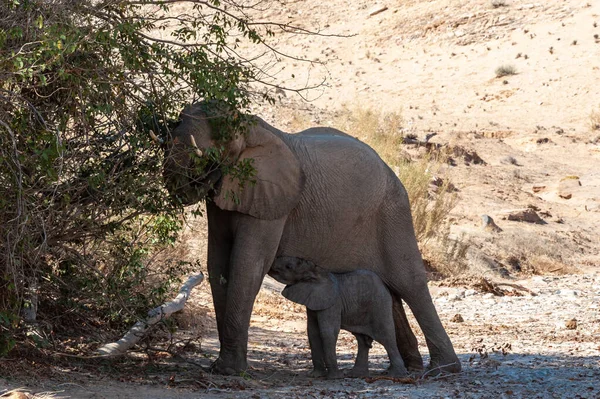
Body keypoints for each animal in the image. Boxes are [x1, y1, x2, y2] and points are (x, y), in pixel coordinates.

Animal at [270, 258, 408, 380]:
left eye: (289, 266)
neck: (317, 271)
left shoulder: (333, 303)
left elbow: (328, 332)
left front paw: (334, 378)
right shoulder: (314, 301)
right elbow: (313, 332)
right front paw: (315, 376)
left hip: (380, 306)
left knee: (386, 338)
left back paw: (396, 376)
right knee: (362, 339)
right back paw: (356, 375)